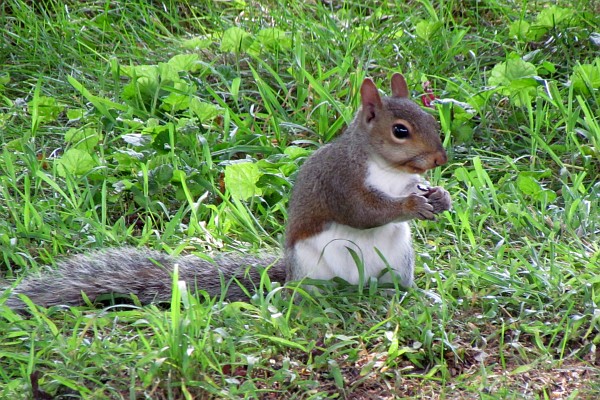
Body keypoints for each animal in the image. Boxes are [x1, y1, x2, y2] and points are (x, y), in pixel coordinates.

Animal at [4, 74, 450, 312]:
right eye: (400, 131)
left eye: (431, 118)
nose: (440, 158)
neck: (390, 172)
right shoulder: (339, 181)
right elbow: (362, 212)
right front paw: (412, 204)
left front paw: (440, 197)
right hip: (315, 268)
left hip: (398, 259)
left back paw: (417, 294)